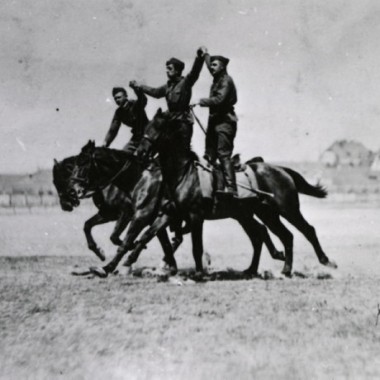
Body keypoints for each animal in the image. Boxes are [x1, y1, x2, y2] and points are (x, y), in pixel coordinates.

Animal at [133, 108, 336, 278]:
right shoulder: (170, 213)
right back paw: (275, 269)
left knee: (307, 230)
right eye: (147, 127)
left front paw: (198, 274)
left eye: (158, 128)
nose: (139, 153)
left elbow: (196, 247)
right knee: (280, 236)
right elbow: (149, 233)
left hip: (288, 210)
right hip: (265, 214)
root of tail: (281, 169)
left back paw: (326, 261)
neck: (184, 173)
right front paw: (130, 257)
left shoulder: (196, 217)